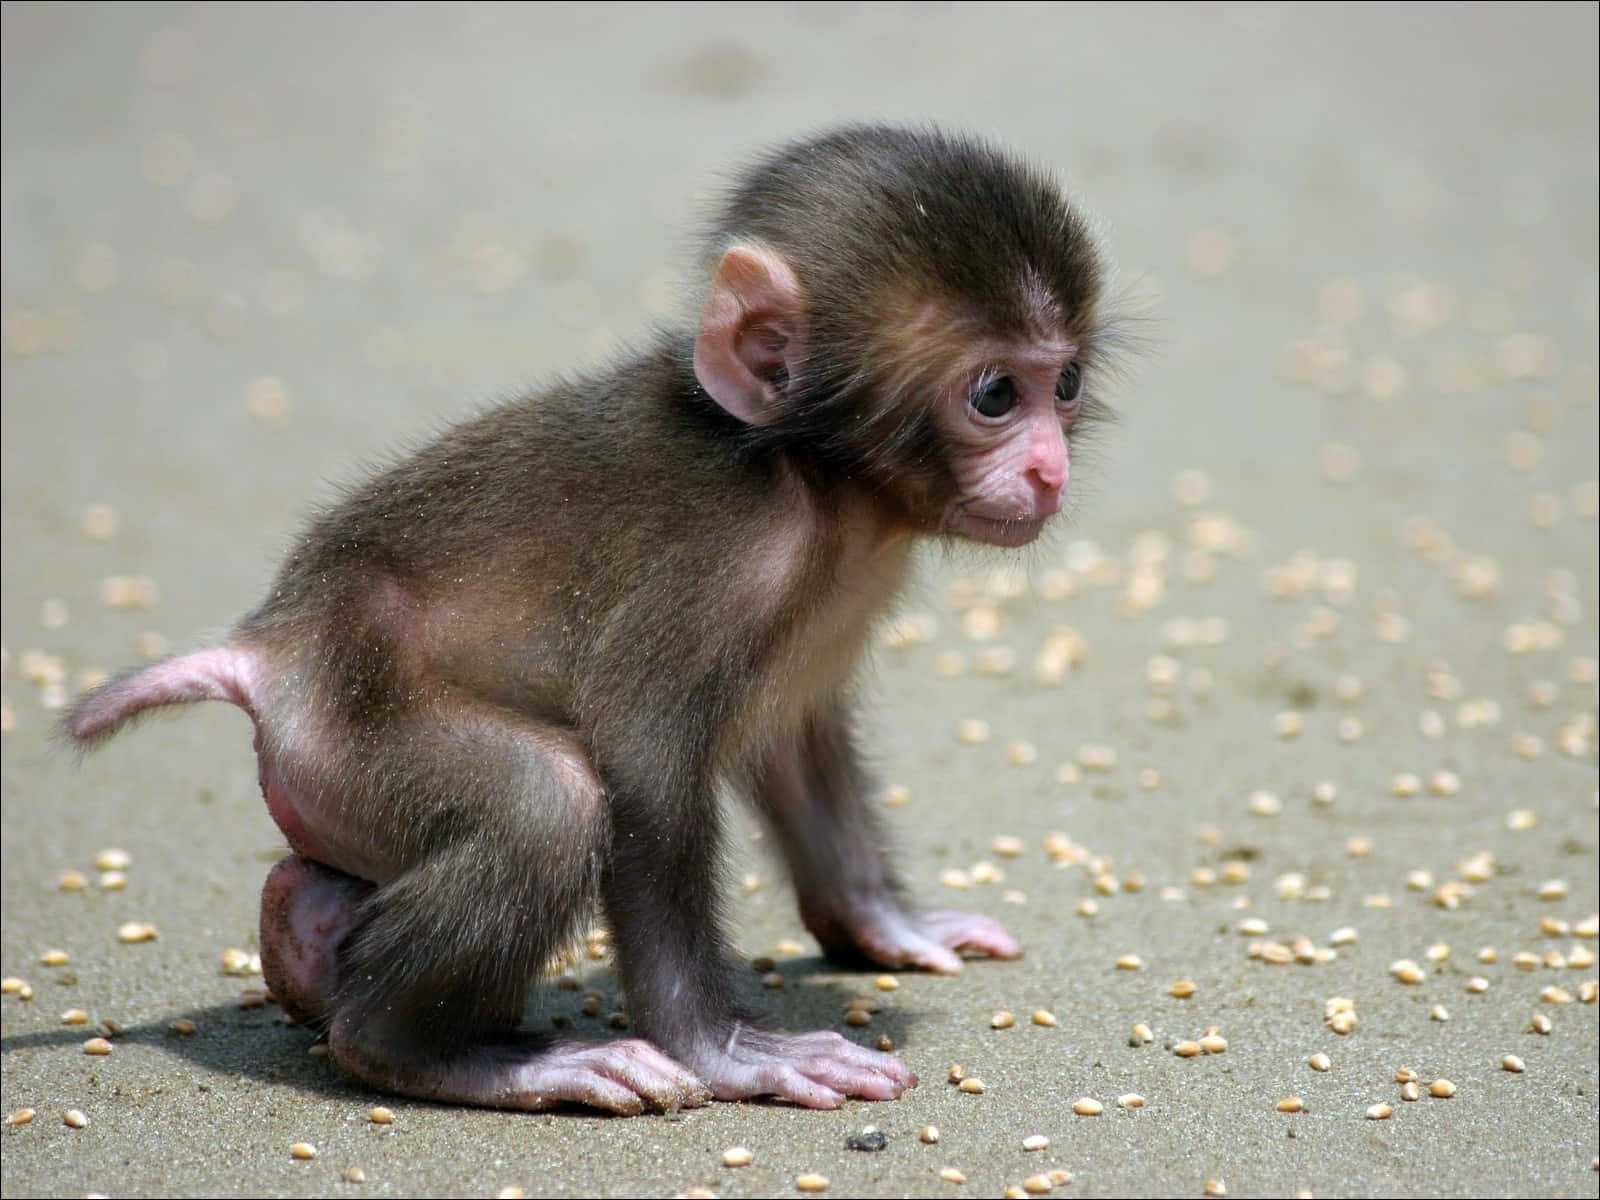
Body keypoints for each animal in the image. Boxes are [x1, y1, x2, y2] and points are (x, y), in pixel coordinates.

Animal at [72, 124, 1113, 1120]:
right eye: (994, 395)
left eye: (1063, 385)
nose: (1050, 470)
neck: (816, 477)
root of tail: (270, 649)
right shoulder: (727, 562)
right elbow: (643, 760)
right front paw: (723, 1053)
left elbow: (791, 742)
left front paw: (883, 925)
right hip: (349, 728)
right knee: (548, 802)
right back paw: (432, 1053)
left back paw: (306, 941)